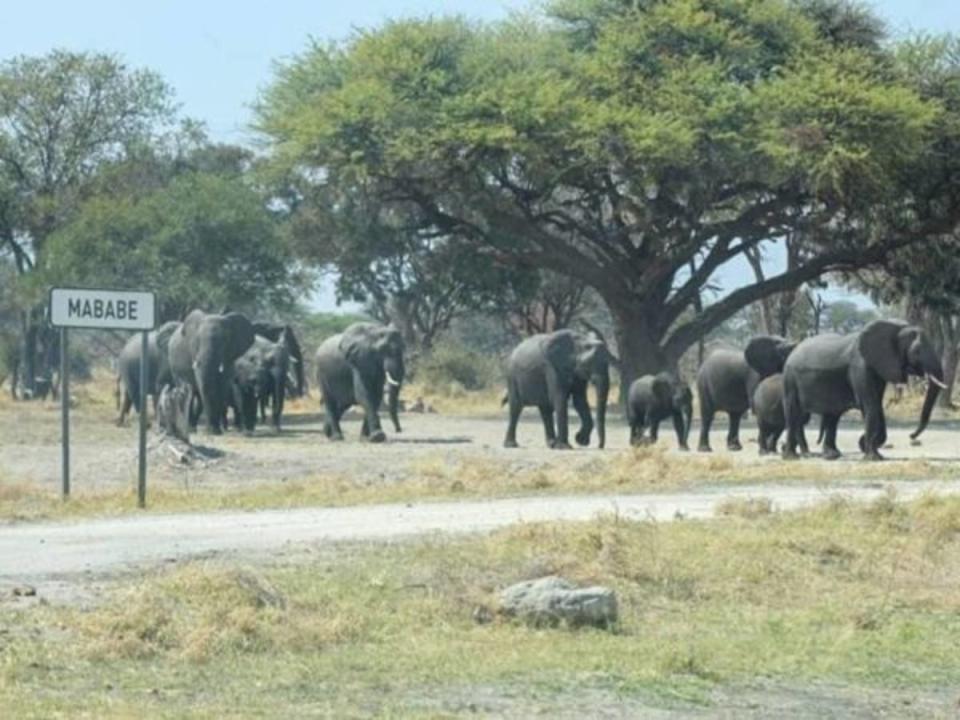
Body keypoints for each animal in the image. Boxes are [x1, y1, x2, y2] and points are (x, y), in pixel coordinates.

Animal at [784, 320, 948, 462]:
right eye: (917, 351)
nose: (911, 436)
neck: (895, 327)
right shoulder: (860, 366)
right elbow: (870, 405)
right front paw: (873, 458)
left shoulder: (879, 366)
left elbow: (877, 405)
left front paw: (872, 450)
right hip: (790, 379)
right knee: (794, 413)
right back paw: (792, 457)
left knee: (832, 416)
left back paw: (831, 455)